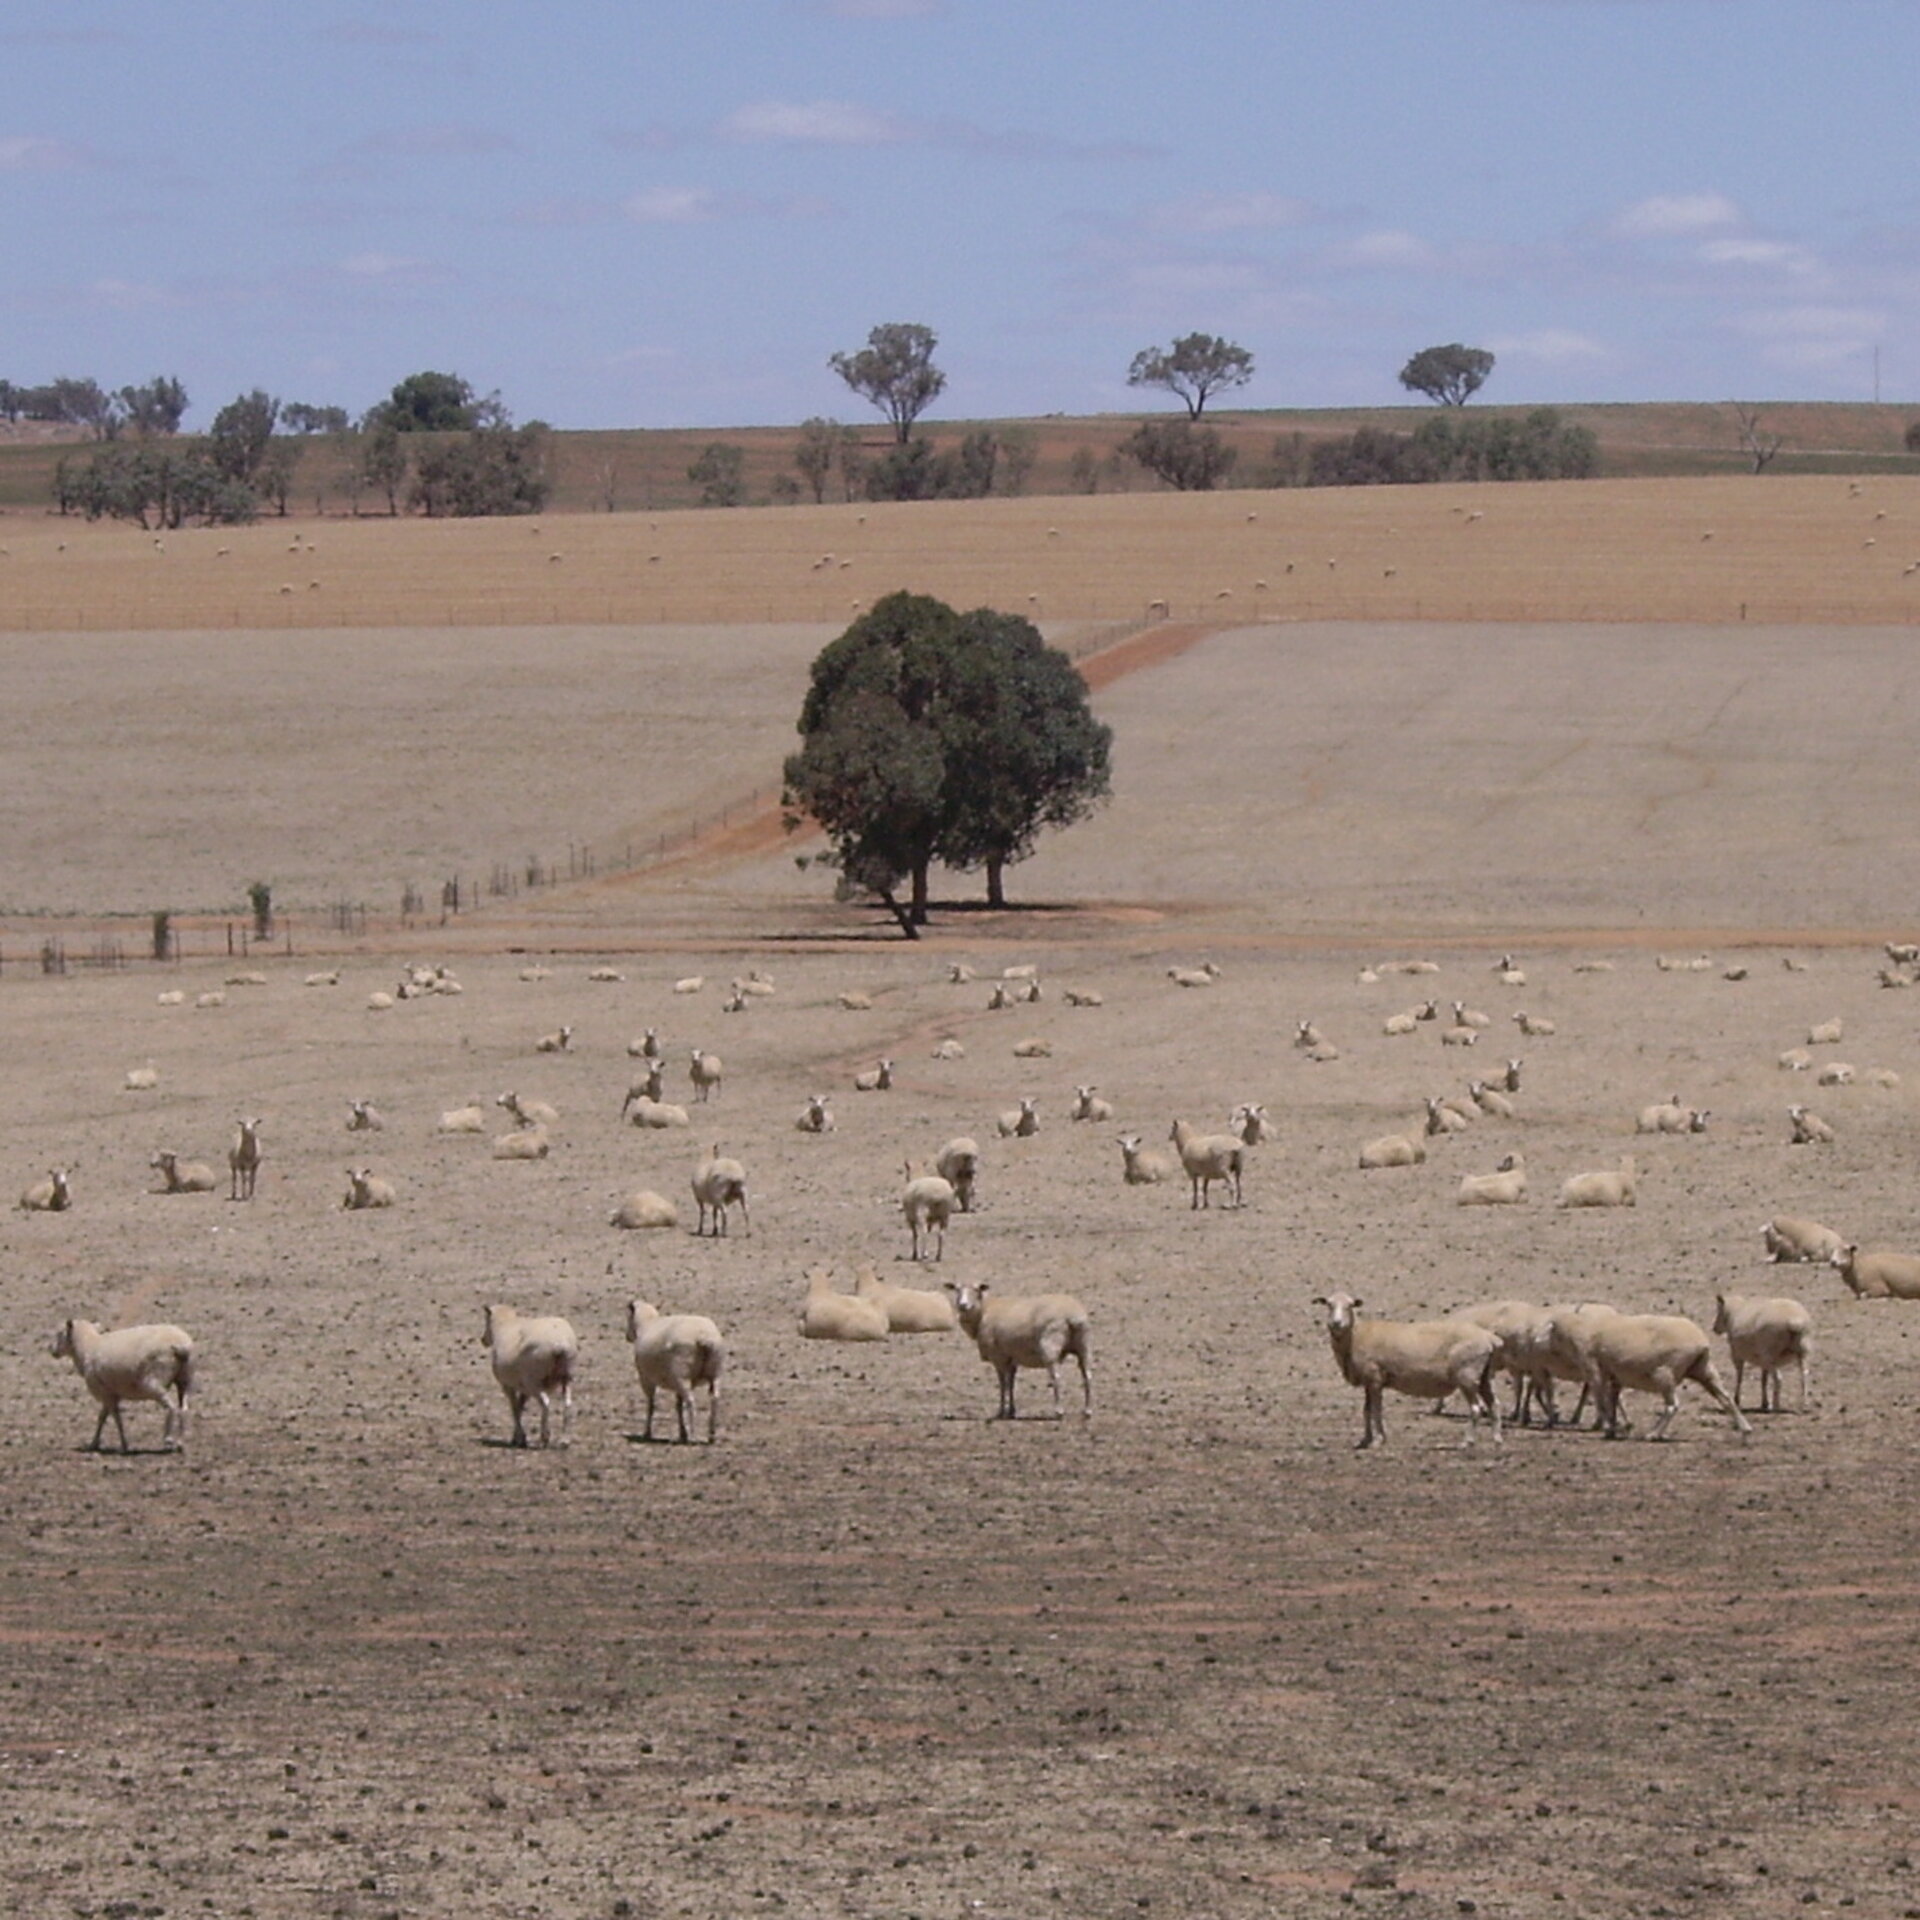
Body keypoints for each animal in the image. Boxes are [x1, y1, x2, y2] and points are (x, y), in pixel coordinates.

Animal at [51, 1320, 192, 1451]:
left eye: (60, 1333)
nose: (51, 1349)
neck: (88, 1347)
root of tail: (181, 1345)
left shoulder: (106, 1394)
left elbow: (116, 1419)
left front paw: (124, 1445)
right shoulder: (110, 1393)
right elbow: (102, 1417)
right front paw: (94, 1443)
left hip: (154, 1383)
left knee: (171, 1407)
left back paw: (168, 1439)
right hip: (184, 1380)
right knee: (183, 1408)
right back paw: (180, 1443)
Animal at [480, 1297, 576, 1443]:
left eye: (486, 1320)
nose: (483, 1340)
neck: (505, 1325)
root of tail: (560, 1345)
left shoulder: (507, 1385)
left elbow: (514, 1408)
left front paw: (520, 1437)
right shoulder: (524, 1388)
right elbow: (520, 1407)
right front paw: (517, 1436)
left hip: (534, 1381)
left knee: (545, 1403)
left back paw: (544, 1436)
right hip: (566, 1377)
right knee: (567, 1403)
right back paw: (565, 1439)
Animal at [625, 1290, 721, 1443]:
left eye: (628, 1317)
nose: (627, 1337)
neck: (647, 1323)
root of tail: (704, 1337)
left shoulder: (645, 1379)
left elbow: (651, 1405)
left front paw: (647, 1433)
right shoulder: (675, 1382)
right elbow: (678, 1406)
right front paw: (682, 1433)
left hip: (682, 1375)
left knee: (691, 1401)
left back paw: (692, 1434)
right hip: (715, 1373)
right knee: (714, 1398)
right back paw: (711, 1435)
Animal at [940, 1282, 1090, 1420]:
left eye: (976, 1290)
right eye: (957, 1290)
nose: (963, 1305)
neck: (983, 1312)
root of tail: (1072, 1316)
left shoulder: (998, 1358)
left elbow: (1003, 1384)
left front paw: (1001, 1412)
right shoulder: (1012, 1359)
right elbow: (1011, 1383)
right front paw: (1011, 1411)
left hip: (1050, 1348)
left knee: (1056, 1377)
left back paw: (1059, 1411)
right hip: (1083, 1347)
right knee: (1087, 1376)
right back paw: (1087, 1411)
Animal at [1313, 1290, 1505, 1451]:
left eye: (1350, 1306)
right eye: (1329, 1305)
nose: (1336, 1323)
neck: (1355, 1337)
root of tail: (1489, 1338)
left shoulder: (1375, 1379)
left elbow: (1376, 1410)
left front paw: (1378, 1440)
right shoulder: (1369, 1382)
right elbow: (1366, 1411)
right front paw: (1365, 1440)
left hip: (1467, 1377)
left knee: (1476, 1408)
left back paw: (1467, 1442)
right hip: (1485, 1376)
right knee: (1494, 1404)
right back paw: (1497, 1439)